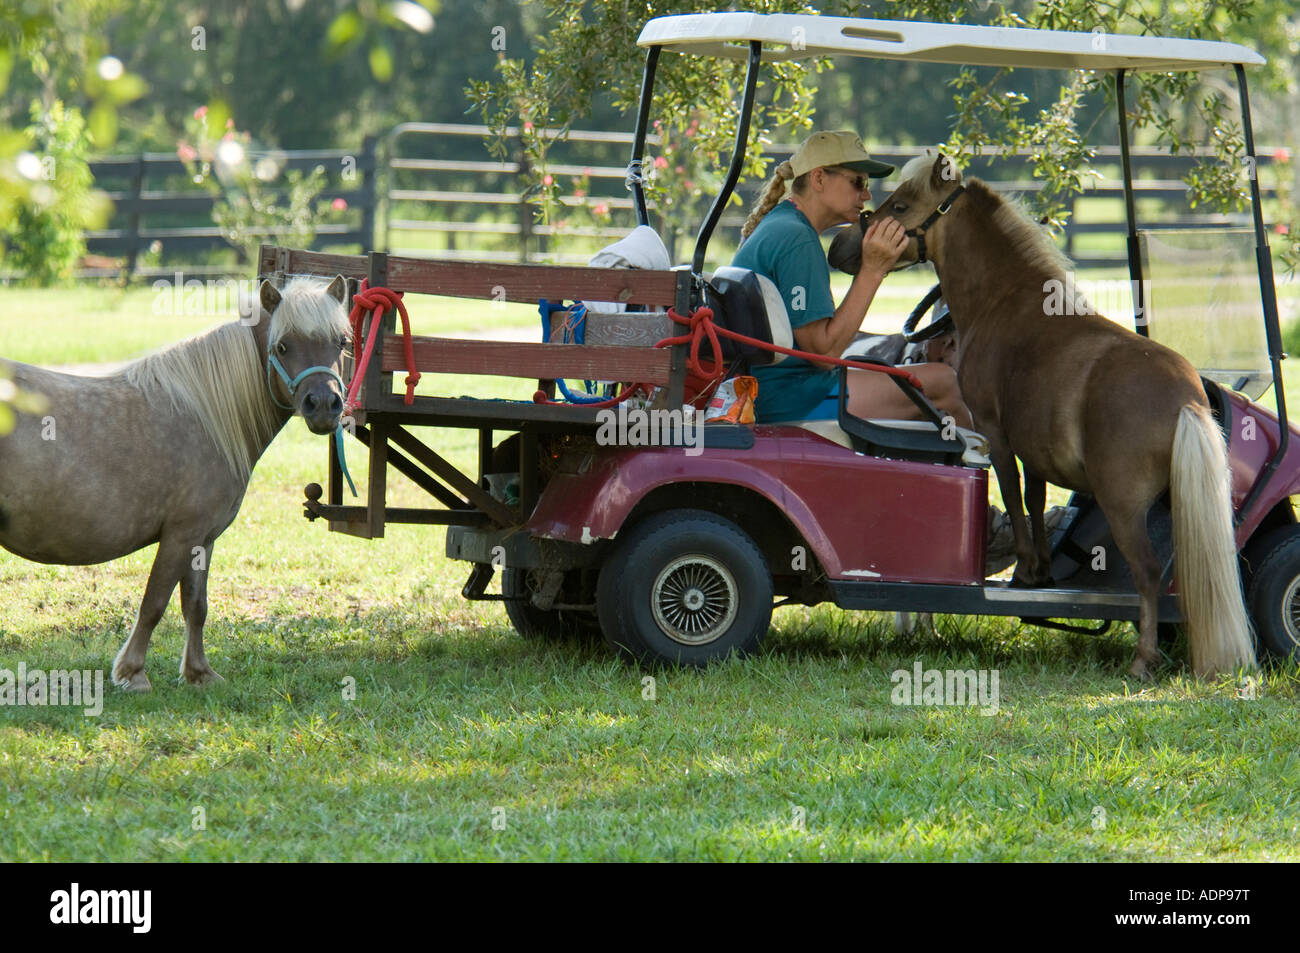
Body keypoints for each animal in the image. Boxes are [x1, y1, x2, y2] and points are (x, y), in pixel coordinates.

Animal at [0, 275, 350, 690]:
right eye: (282, 345)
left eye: (341, 341)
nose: (324, 405)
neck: (206, 417)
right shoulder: (180, 536)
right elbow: (154, 602)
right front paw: (133, 673)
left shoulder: (203, 540)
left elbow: (195, 606)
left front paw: (199, 673)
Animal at [828, 154, 1255, 679]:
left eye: (901, 205)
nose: (839, 247)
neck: (1005, 301)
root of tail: (1188, 401)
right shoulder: (1034, 446)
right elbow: (1033, 497)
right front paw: (1042, 570)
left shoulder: (995, 431)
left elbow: (1012, 493)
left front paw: (1028, 570)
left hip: (1123, 506)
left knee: (1149, 572)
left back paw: (1143, 658)